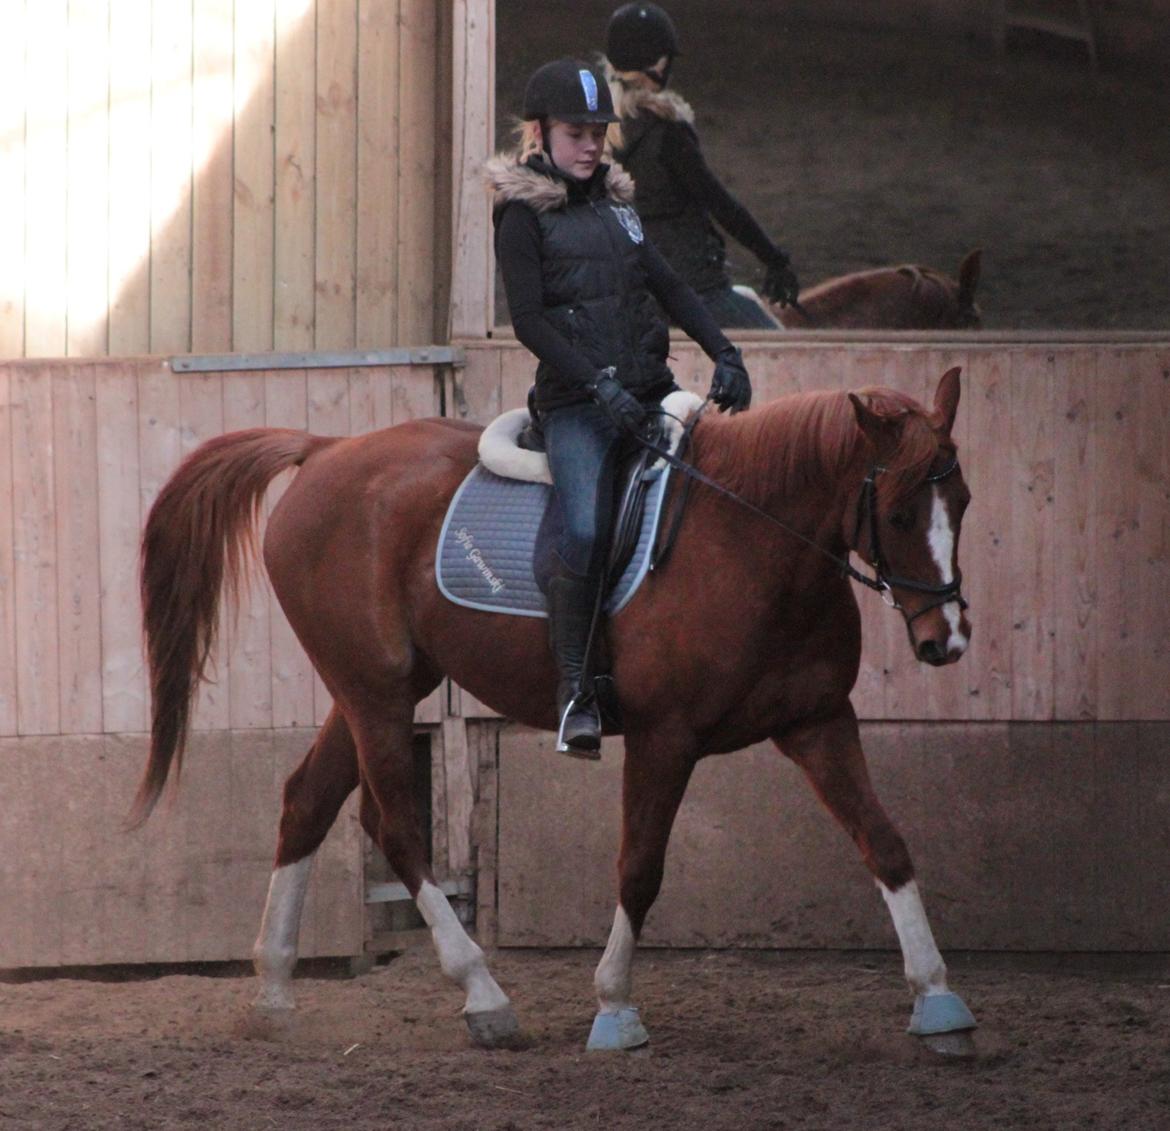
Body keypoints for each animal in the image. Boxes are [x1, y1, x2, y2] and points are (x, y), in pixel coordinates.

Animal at [125, 371, 978, 1061]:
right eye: (900, 513)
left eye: (962, 502)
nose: (946, 641)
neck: (754, 543)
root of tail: (325, 449)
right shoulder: (666, 737)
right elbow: (639, 867)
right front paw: (614, 1009)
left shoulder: (819, 722)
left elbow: (885, 843)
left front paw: (940, 1004)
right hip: (374, 690)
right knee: (394, 826)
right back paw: (484, 996)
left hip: (374, 686)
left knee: (306, 800)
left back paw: (272, 995)